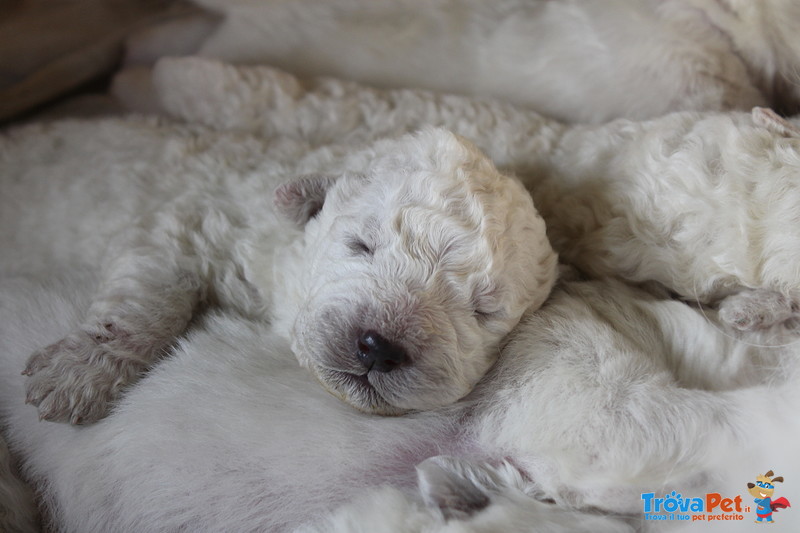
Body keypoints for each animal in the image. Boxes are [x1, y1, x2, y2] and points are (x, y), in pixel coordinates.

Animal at [0, 118, 556, 422]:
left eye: (484, 310)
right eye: (361, 245)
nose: (379, 348)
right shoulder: (190, 221)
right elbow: (146, 296)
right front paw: (78, 374)